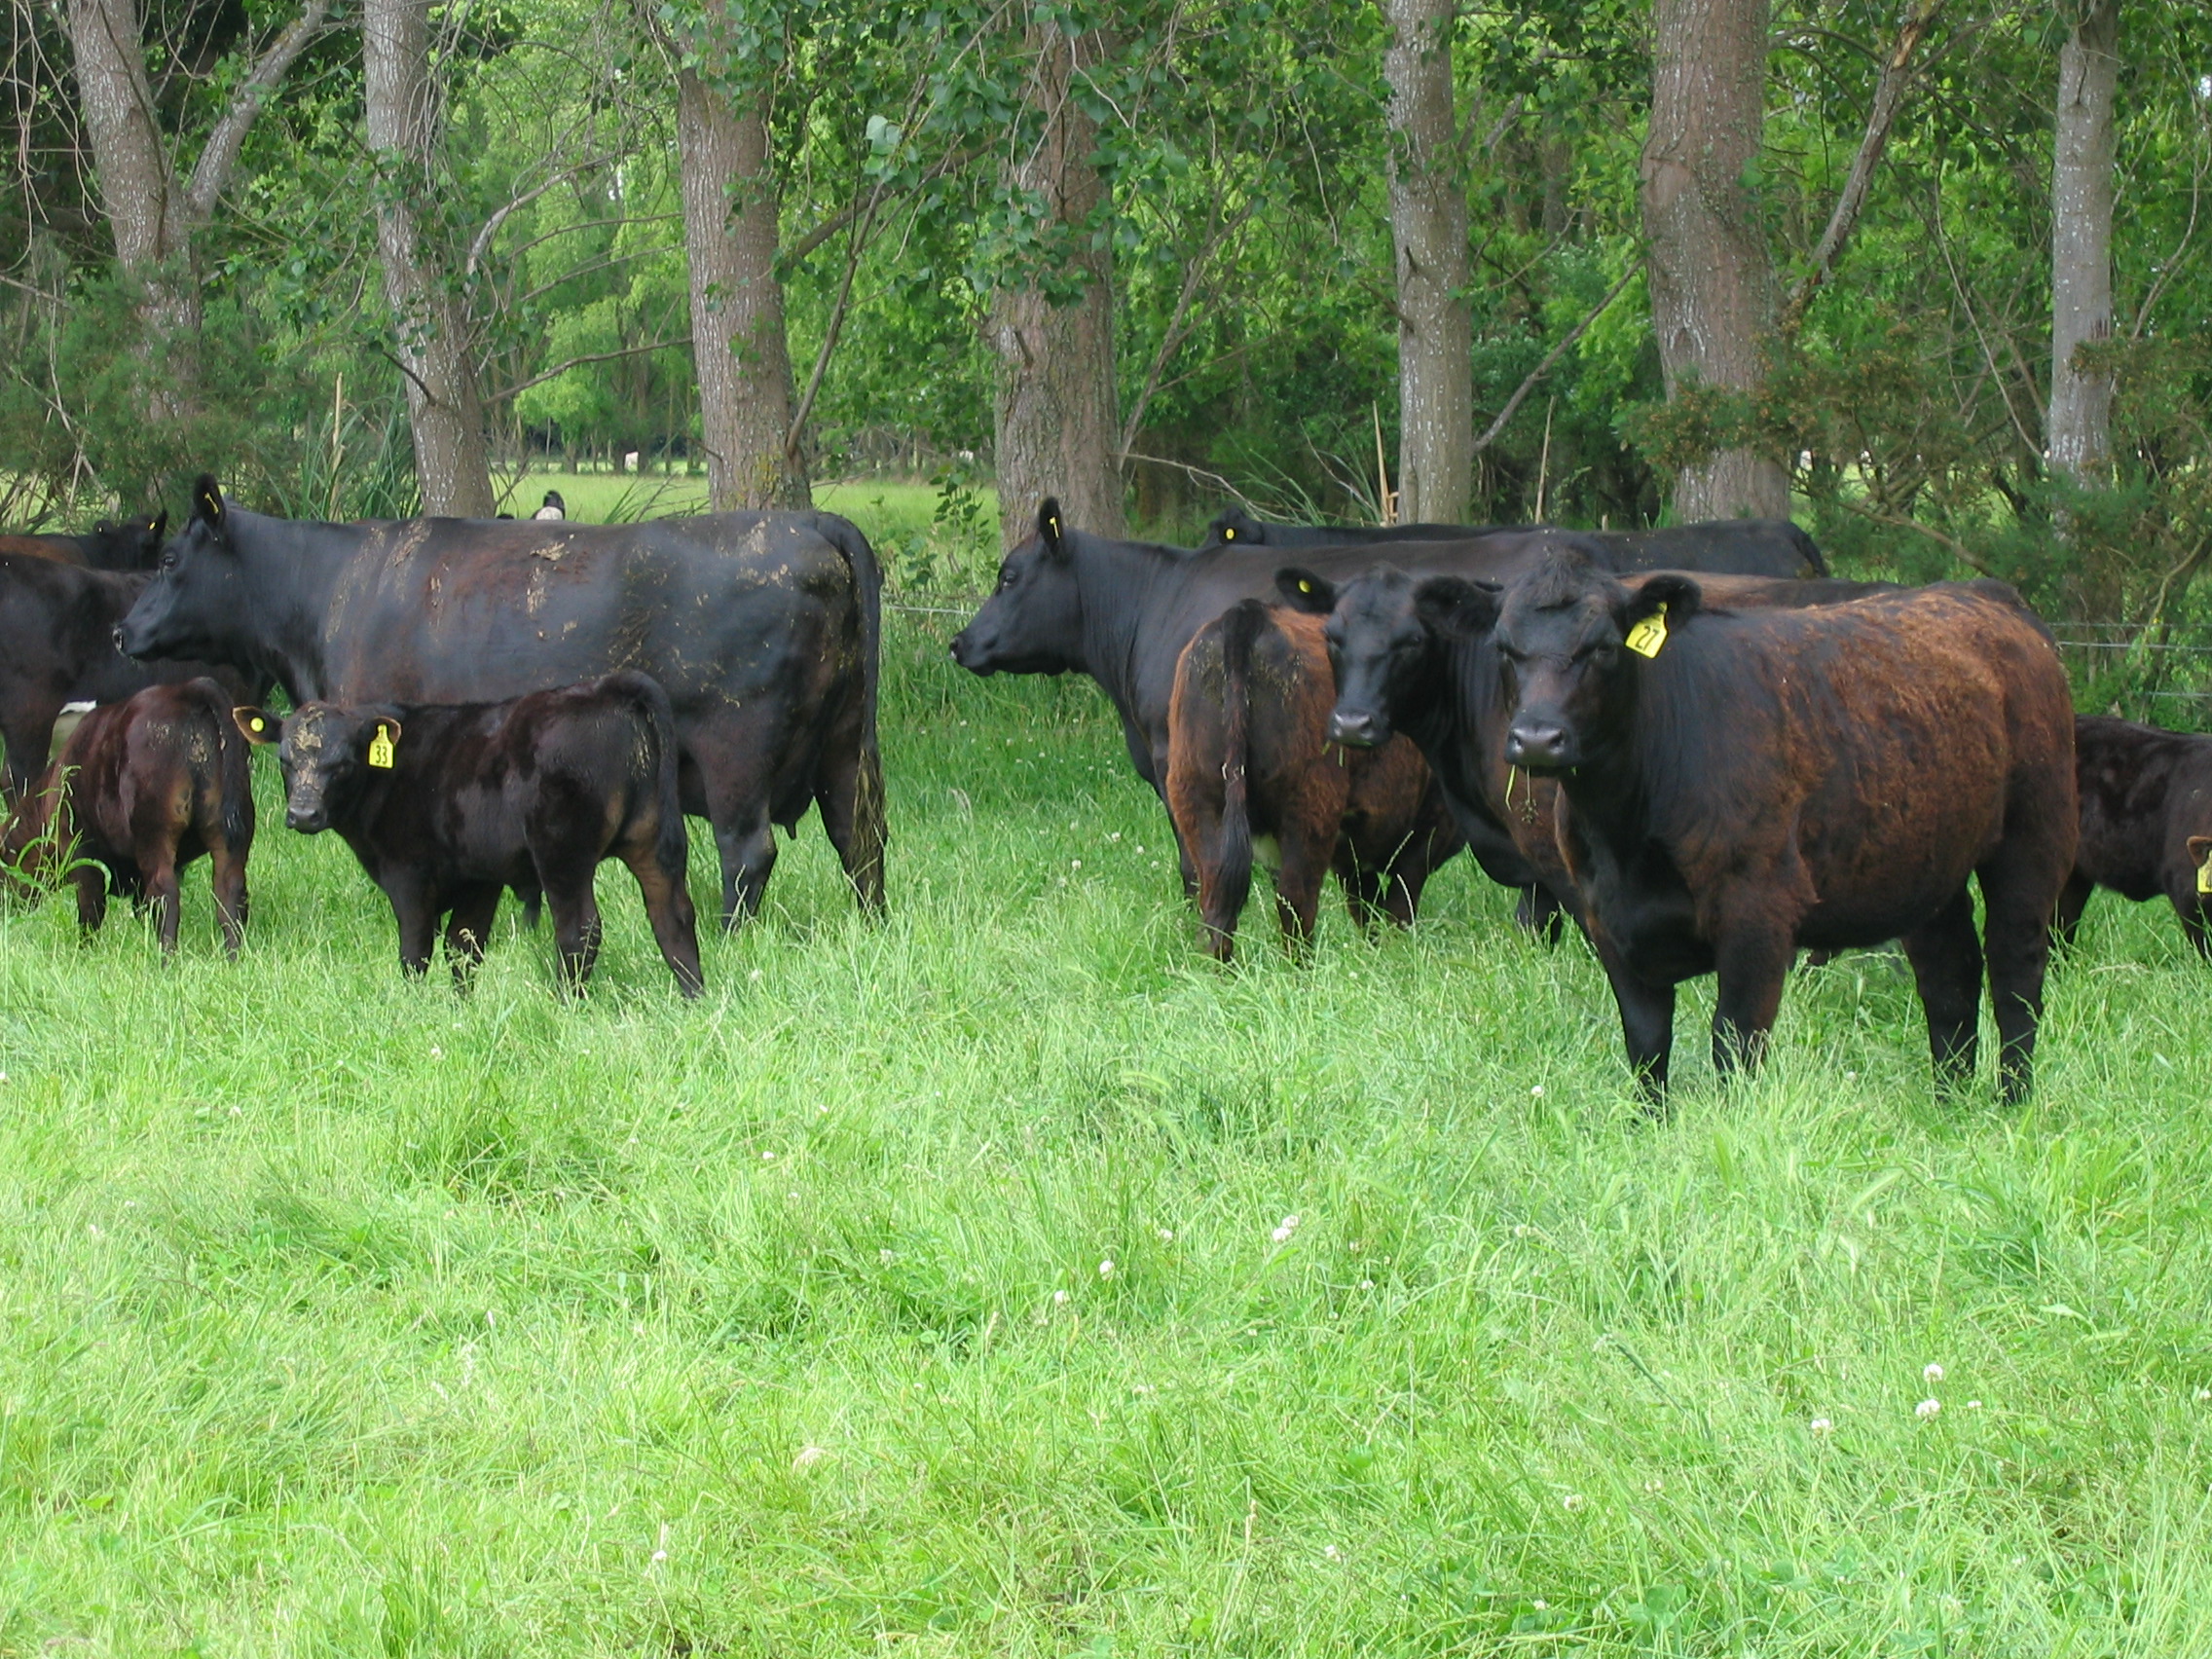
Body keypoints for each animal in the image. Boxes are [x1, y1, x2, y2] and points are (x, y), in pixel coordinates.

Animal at [0, 678, 253, 954]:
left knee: (165, 895)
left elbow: (91, 912)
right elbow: (139, 908)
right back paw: (233, 955)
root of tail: (186, 690)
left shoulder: (83, 856)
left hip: (154, 833)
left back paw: (167, 957)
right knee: (229, 892)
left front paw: (85, 952)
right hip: (229, 831)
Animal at [117, 475, 884, 929]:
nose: (123, 630)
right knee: (861, 838)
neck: (327, 590)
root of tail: (809, 524)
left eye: (166, 561)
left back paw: (729, 938)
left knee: (747, 852)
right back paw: (869, 926)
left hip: (735, 752)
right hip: (846, 744)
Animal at [234, 672, 704, 996]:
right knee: (672, 916)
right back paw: (692, 997)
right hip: (654, 840)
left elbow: (416, 951)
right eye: (284, 760)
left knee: (580, 930)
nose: (303, 814)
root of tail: (607, 686)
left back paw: (565, 1003)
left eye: (344, 764)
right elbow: (463, 947)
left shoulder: (408, 873)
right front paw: (462, 1006)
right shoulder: (479, 877)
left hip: (562, 852)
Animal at [1166, 599, 1462, 960]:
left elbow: (1368, 908)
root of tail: (1248, 614)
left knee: (1216, 903)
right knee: (1295, 900)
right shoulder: (1428, 830)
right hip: (1309, 806)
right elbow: (1397, 907)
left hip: (1196, 796)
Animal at [1312, 551, 2075, 1101]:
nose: (1536, 739)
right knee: (1950, 975)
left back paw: (2011, 1101)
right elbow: (1646, 1045)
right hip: (1926, 864)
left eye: (1602, 648)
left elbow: (1733, 1044)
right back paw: (1949, 1099)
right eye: (1506, 647)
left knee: (2016, 973)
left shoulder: (1756, 916)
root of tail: (1984, 596)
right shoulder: (1609, 919)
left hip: (2031, 843)